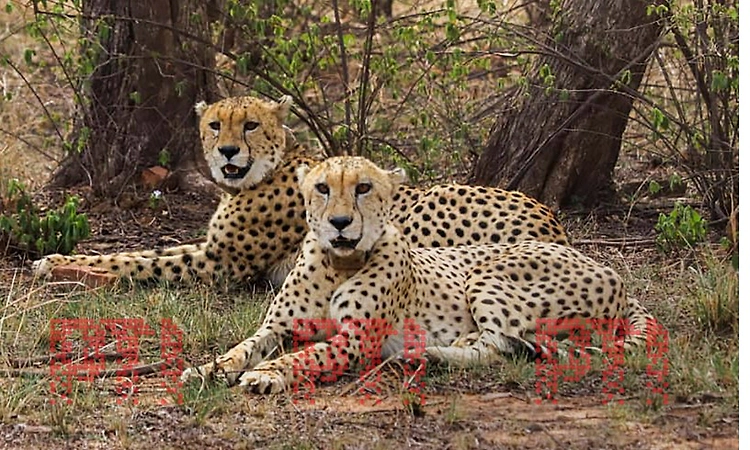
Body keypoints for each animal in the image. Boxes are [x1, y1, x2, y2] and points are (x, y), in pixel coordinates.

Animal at [33, 95, 569, 287]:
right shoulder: (212, 248)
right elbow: (145, 250)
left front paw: (63, 267)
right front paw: (59, 260)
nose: (227, 152)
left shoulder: (222, 263)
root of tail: (554, 223)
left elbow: (138, 262)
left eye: (249, 125)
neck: (265, 171)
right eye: (214, 124)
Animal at [180, 156, 657, 395]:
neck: (339, 263)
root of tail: (610, 271)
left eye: (364, 187)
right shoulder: (278, 326)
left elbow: (306, 356)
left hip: (486, 274)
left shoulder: (358, 339)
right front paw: (208, 369)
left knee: (503, 344)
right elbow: (242, 347)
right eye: (322, 188)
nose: (339, 223)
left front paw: (268, 374)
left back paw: (429, 353)